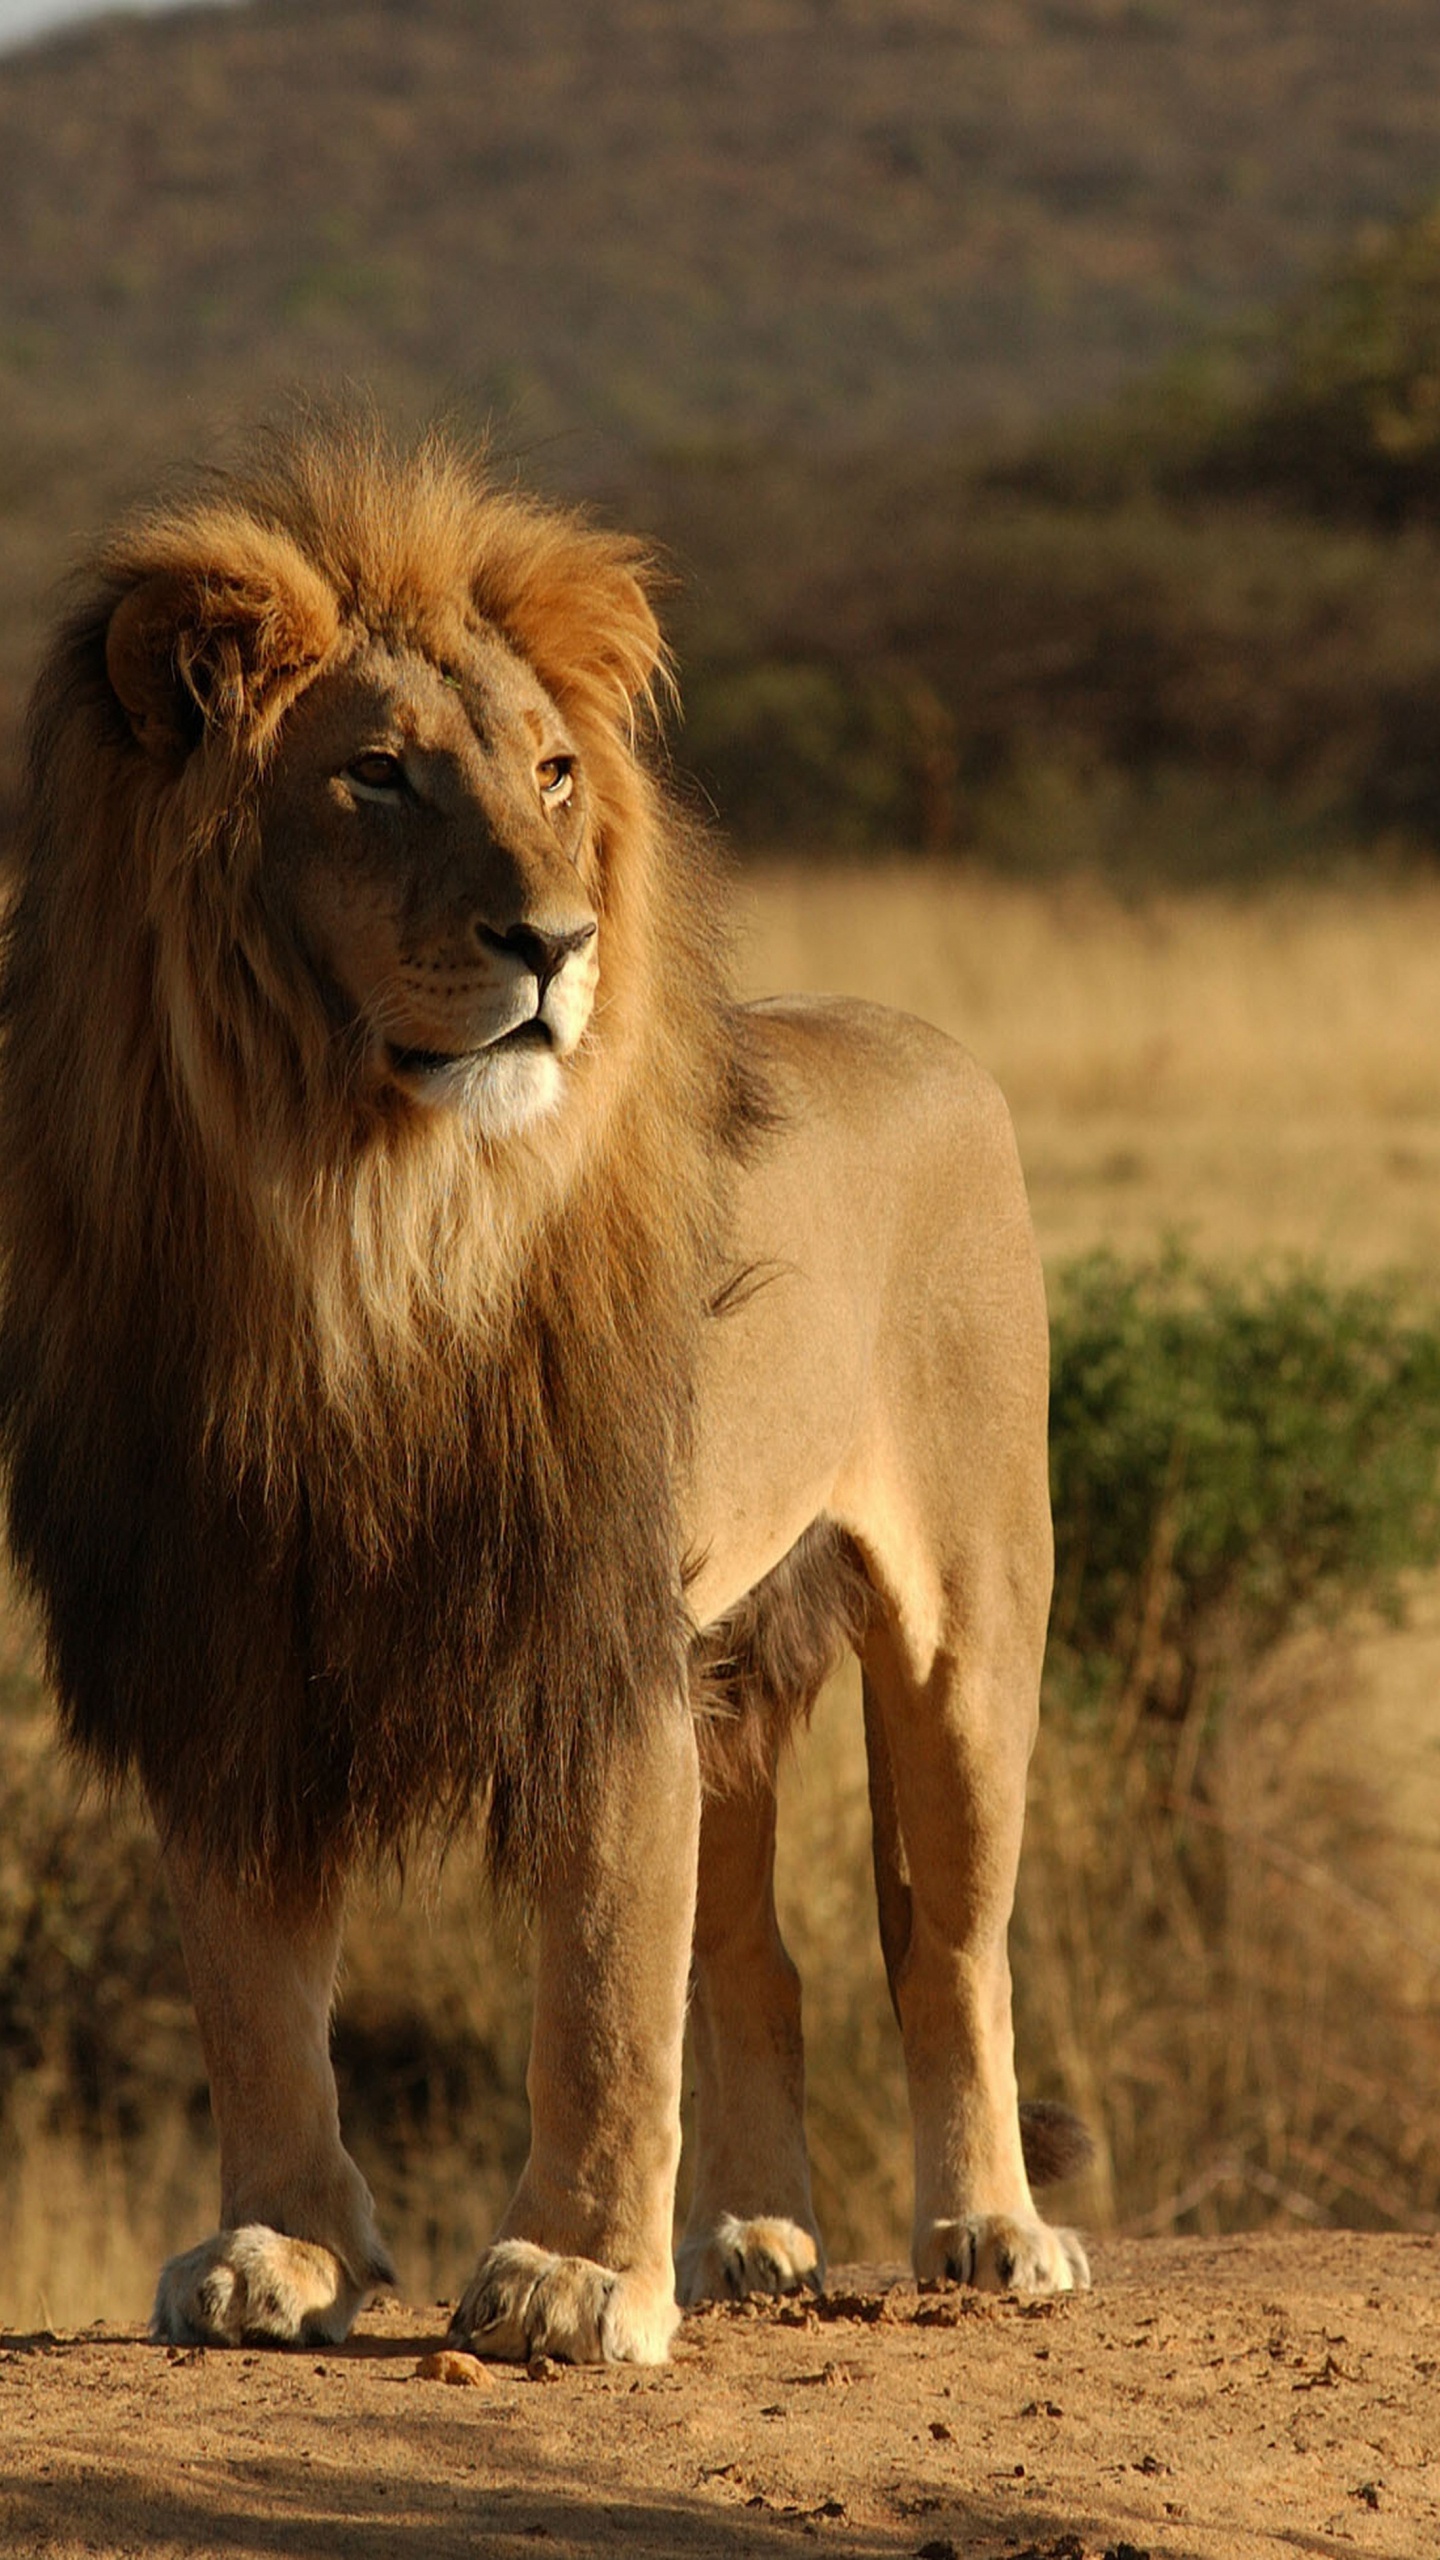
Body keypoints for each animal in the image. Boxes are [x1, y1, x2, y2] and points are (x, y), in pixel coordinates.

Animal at [0, 424, 1089, 2364]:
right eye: (374, 779)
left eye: (554, 772)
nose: (557, 943)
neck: (357, 1220)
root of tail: (924, 1037)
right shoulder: (226, 1633)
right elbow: (253, 1988)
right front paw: (278, 2249)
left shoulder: (594, 1629)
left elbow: (599, 1985)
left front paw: (573, 2276)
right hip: (735, 1662)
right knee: (758, 1958)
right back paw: (750, 2237)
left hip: (968, 1617)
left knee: (947, 1943)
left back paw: (988, 2231)